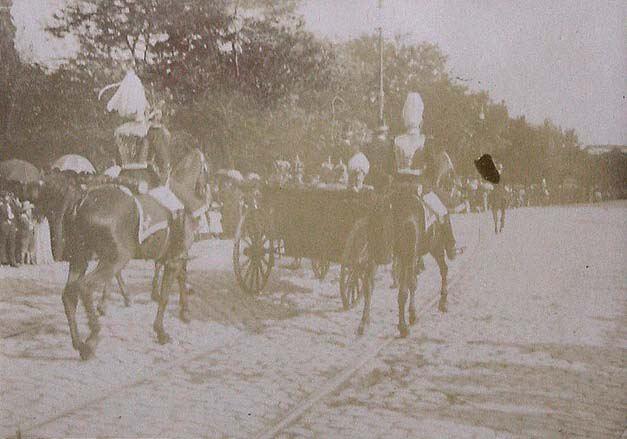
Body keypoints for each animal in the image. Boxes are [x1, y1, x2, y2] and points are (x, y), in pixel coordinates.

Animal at [58, 149, 209, 360]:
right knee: (85, 287)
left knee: (69, 295)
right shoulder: (174, 259)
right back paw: (92, 338)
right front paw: (161, 332)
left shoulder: (174, 257)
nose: (204, 190)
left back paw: (79, 343)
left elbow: (180, 278)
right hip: (115, 259)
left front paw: (184, 312)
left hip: (81, 259)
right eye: (206, 169)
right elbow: (165, 295)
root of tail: (82, 201)